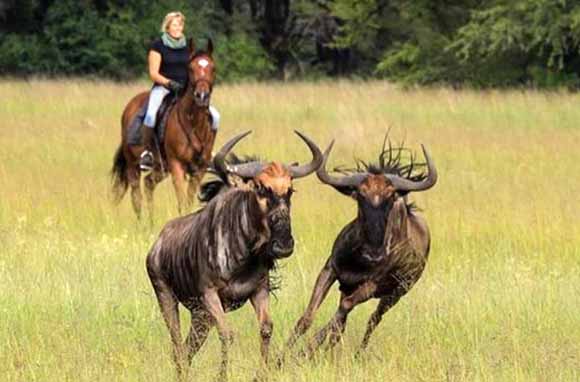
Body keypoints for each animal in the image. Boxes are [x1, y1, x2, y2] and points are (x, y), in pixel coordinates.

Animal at [111, 38, 218, 221]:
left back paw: (151, 222)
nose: (202, 96)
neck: (194, 122)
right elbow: (182, 202)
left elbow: (189, 202)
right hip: (133, 165)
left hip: (160, 168)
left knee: (148, 184)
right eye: (191, 68)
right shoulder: (176, 165)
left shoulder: (199, 170)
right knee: (136, 196)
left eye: (212, 67)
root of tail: (130, 106)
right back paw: (141, 224)